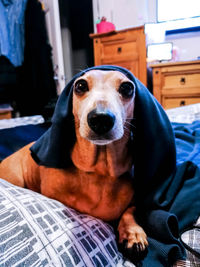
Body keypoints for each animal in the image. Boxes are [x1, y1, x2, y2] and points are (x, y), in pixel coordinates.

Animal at [0, 69, 148, 262]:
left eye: (127, 88)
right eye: (80, 85)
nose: (101, 119)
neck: (99, 172)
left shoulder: (134, 200)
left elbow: (129, 211)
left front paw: (132, 233)